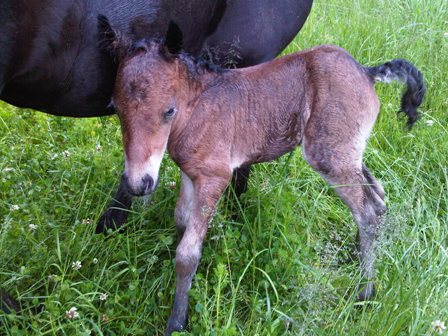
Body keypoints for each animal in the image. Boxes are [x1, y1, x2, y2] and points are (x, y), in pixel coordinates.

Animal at [103, 23, 426, 334]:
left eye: (168, 110)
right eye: (116, 109)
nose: (138, 183)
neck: (195, 108)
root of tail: (367, 72)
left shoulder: (215, 175)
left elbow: (187, 255)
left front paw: (177, 322)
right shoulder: (190, 173)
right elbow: (182, 219)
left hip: (329, 155)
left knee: (367, 210)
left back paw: (365, 292)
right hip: (349, 153)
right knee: (378, 197)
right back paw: (353, 257)